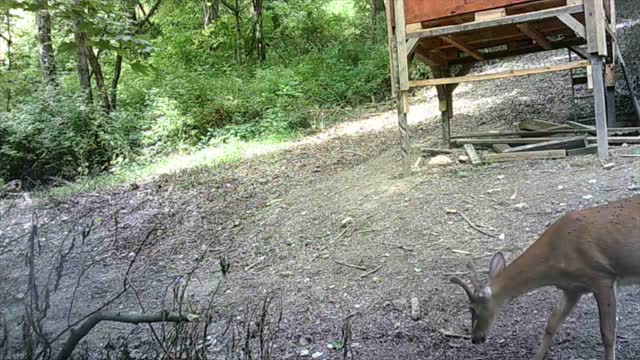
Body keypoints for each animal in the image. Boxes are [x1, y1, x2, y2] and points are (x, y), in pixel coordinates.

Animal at [450, 195, 640, 358]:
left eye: (472, 309)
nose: (475, 338)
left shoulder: (602, 277)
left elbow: (607, 334)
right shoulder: (573, 288)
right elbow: (551, 324)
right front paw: (537, 357)